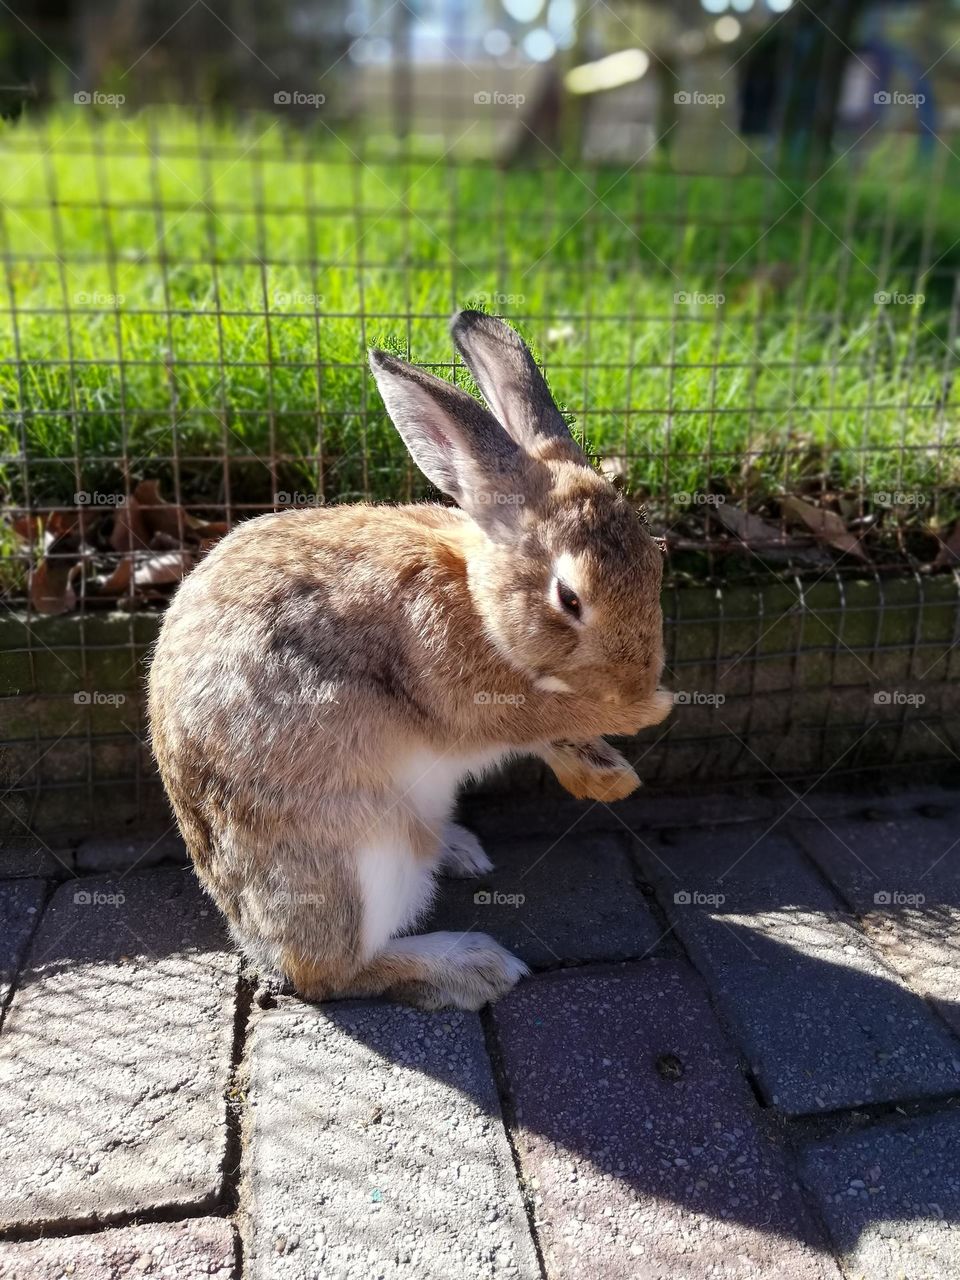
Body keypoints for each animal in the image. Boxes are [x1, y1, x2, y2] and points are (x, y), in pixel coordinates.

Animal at [148, 310, 672, 1010]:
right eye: (569, 597)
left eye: (656, 560)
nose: (637, 684)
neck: (476, 595)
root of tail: (248, 931)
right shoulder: (471, 702)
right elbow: (541, 717)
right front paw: (642, 715)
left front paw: (606, 772)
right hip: (360, 856)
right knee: (331, 973)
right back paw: (472, 965)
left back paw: (462, 853)